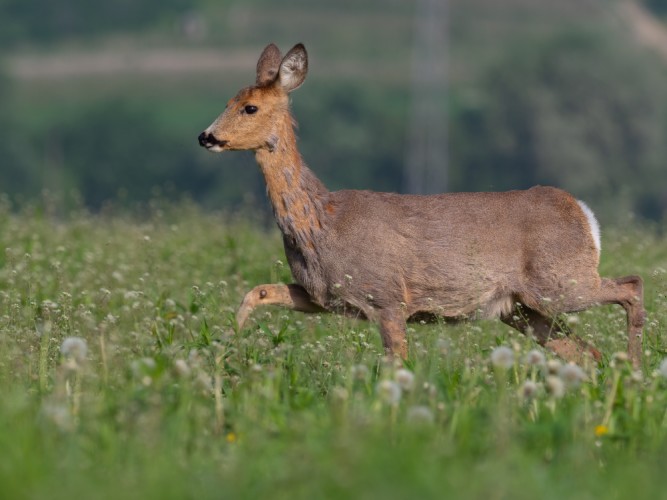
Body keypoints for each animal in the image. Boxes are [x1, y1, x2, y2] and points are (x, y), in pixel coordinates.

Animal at [197, 43, 648, 368]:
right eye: (228, 100)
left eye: (250, 107)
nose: (206, 136)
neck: (321, 223)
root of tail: (585, 215)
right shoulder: (324, 295)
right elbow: (259, 291)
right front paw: (230, 341)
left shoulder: (387, 297)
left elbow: (398, 365)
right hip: (522, 308)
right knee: (587, 352)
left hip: (560, 282)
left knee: (631, 285)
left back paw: (636, 369)